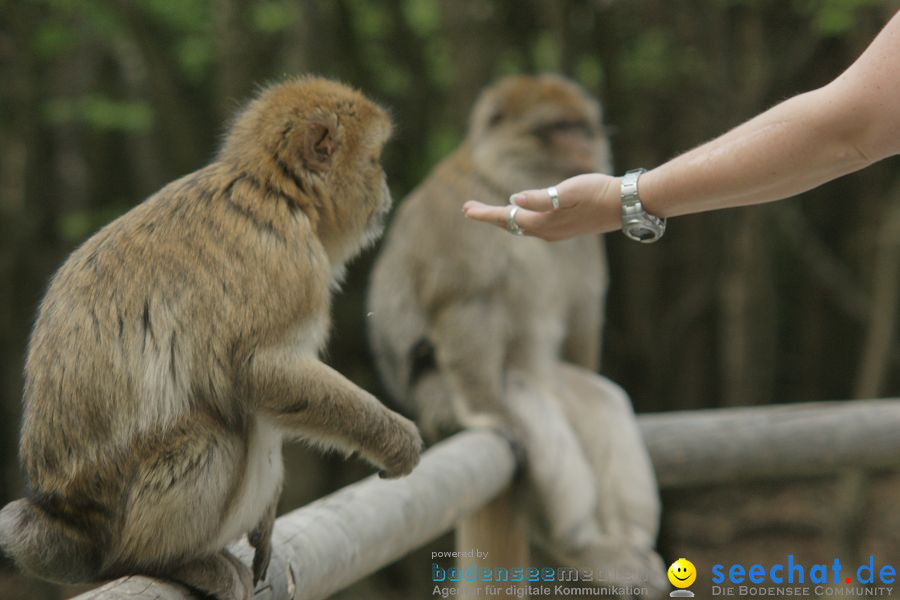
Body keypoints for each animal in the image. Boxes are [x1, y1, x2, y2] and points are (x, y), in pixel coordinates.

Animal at [0, 75, 422, 600]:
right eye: (374, 160)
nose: (385, 187)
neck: (274, 190)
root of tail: (64, 521)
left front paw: (267, 517)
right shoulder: (292, 264)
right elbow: (262, 370)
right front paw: (392, 437)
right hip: (124, 517)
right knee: (218, 436)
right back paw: (167, 561)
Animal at [368, 75, 668, 596]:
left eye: (583, 126)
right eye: (559, 128)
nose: (586, 144)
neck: (506, 181)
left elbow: (583, 317)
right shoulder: (460, 216)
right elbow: (464, 303)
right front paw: (487, 414)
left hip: (562, 387)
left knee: (602, 400)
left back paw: (628, 544)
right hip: (440, 397)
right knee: (526, 400)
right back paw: (584, 544)